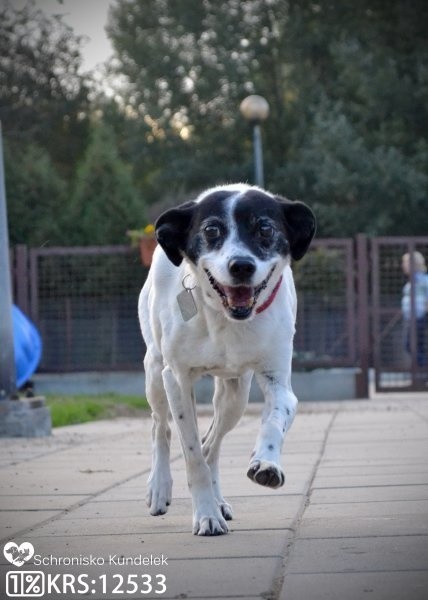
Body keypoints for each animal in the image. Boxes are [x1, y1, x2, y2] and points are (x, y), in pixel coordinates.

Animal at [139, 183, 316, 536]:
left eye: (265, 229)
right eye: (211, 230)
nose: (242, 266)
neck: (226, 318)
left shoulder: (278, 380)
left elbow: (275, 419)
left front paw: (267, 462)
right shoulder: (176, 379)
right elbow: (191, 455)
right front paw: (206, 516)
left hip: (235, 396)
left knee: (212, 444)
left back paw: (220, 498)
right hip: (155, 375)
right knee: (160, 428)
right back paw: (159, 488)